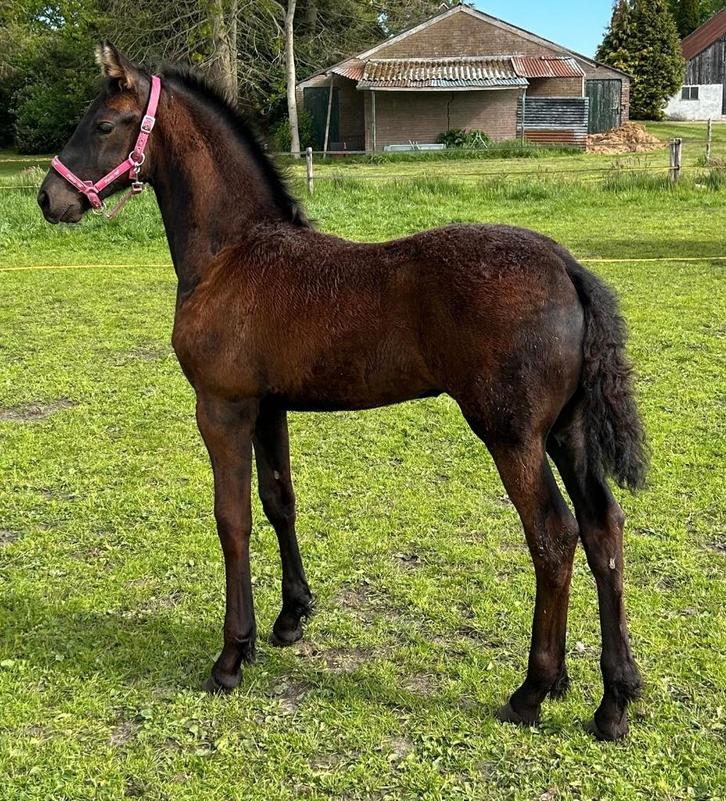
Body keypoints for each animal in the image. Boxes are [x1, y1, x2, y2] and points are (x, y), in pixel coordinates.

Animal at [38, 43, 647, 741]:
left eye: (104, 125)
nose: (48, 197)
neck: (232, 253)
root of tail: (567, 267)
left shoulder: (221, 408)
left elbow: (232, 518)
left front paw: (231, 655)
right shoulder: (268, 408)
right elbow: (279, 502)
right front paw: (290, 618)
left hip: (511, 434)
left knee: (553, 536)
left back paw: (532, 690)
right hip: (567, 432)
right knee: (603, 528)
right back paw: (613, 699)